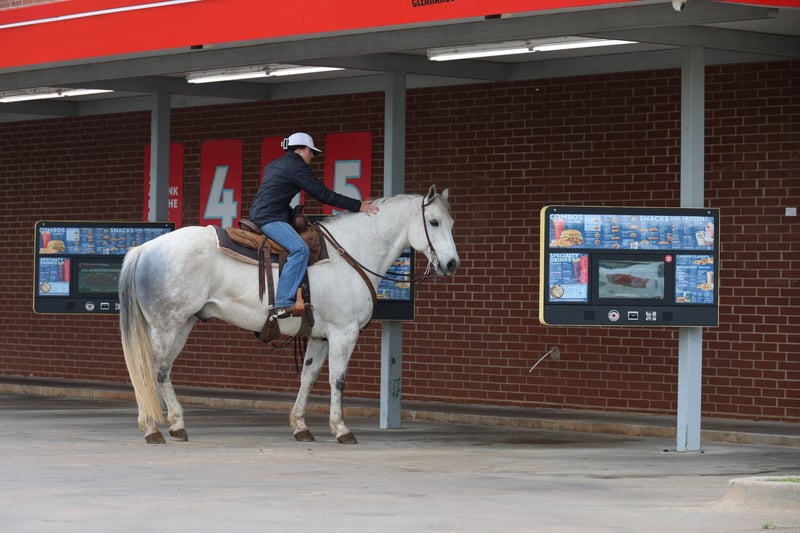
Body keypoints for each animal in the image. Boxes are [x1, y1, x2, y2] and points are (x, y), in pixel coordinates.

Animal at [119, 185, 460, 444]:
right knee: (150, 370)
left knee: (162, 371)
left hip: (183, 323)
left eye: (451, 223)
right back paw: (152, 428)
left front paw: (301, 425)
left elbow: (308, 377)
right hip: (165, 325)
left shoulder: (321, 335)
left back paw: (175, 424)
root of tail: (144, 249)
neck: (350, 252)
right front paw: (342, 429)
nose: (452, 263)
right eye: (433, 222)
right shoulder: (344, 332)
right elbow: (338, 379)